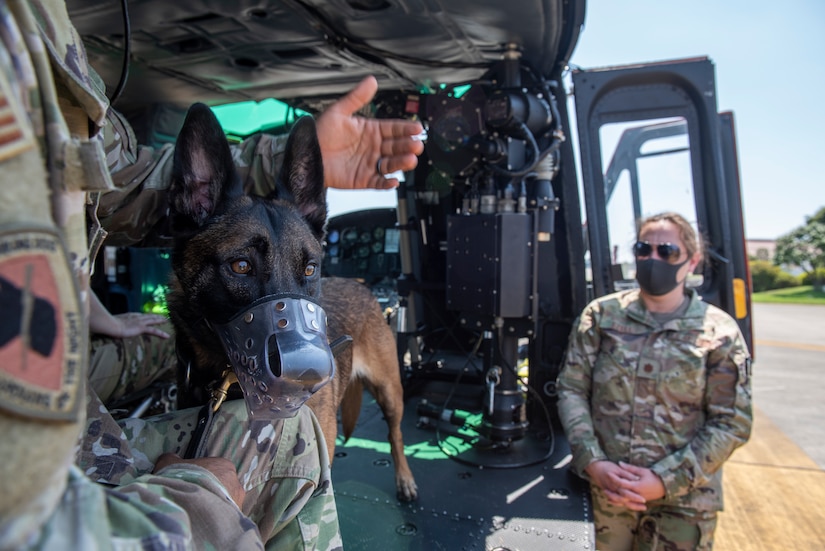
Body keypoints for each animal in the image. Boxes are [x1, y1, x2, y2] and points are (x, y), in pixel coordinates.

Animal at [166, 104, 418, 504]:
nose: (308, 374)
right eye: (241, 266)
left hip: (392, 392)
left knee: (395, 433)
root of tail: (361, 284)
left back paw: (405, 479)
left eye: (311, 268)